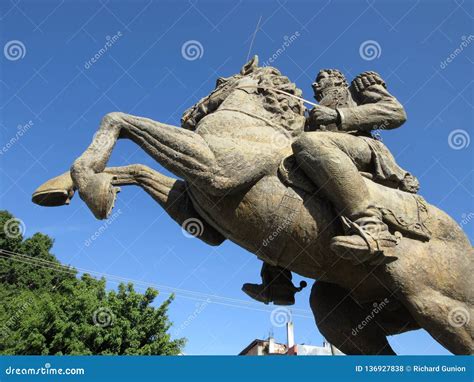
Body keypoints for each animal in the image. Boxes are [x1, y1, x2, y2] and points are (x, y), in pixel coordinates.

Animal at [33, 56, 474, 356]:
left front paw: (88, 186)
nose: (187, 114)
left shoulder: (214, 167)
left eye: (218, 80)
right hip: (348, 316)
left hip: (442, 307)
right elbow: (135, 167)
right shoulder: (201, 215)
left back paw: (372, 237)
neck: (253, 125)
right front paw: (68, 188)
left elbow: (121, 119)